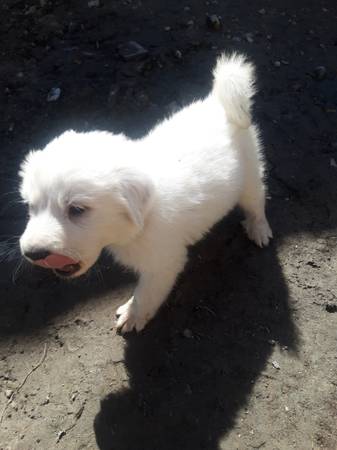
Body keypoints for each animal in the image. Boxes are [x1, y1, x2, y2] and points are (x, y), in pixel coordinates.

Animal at [18, 54, 272, 332]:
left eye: (77, 210)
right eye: (30, 206)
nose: (32, 254)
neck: (144, 215)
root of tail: (217, 102)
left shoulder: (163, 262)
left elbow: (147, 294)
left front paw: (133, 315)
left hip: (249, 176)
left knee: (257, 201)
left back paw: (259, 228)